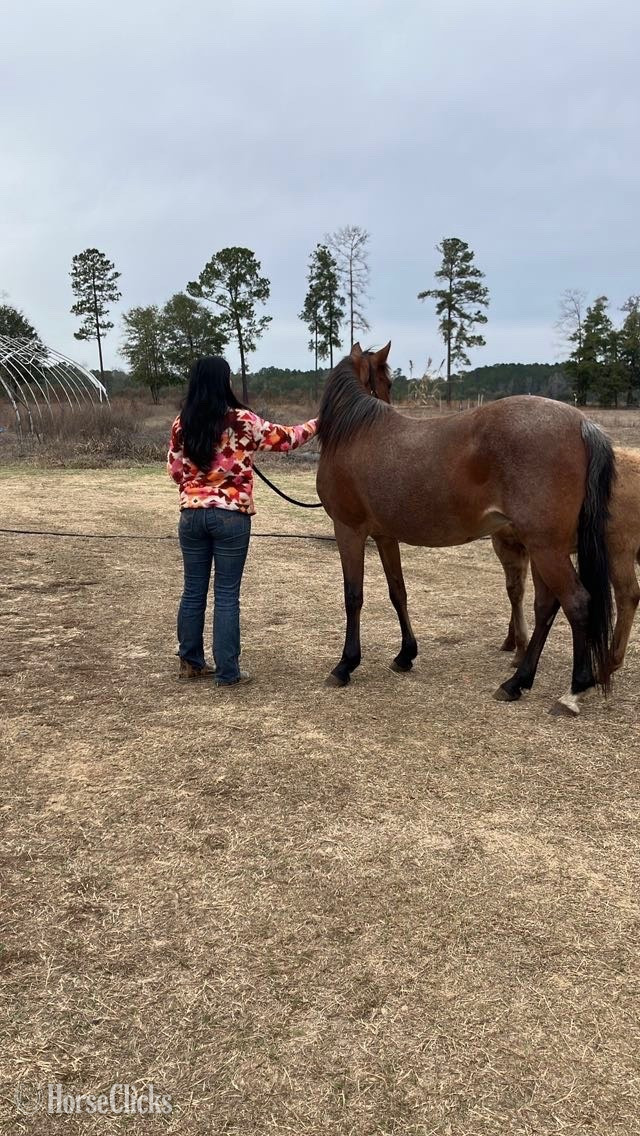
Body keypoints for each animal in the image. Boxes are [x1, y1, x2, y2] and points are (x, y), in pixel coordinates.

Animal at [315, 343, 616, 716]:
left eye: (389, 383)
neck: (355, 434)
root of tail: (582, 423)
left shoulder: (349, 530)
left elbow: (353, 596)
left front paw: (345, 664)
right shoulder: (385, 536)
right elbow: (398, 591)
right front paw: (405, 655)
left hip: (547, 548)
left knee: (577, 603)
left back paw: (573, 690)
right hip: (545, 548)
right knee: (547, 607)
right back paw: (517, 682)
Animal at [493, 446, 640, 675]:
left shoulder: (510, 545)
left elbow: (515, 592)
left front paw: (520, 650)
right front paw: (512, 640)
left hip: (618, 548)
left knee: (628, 595)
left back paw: (607, 665)